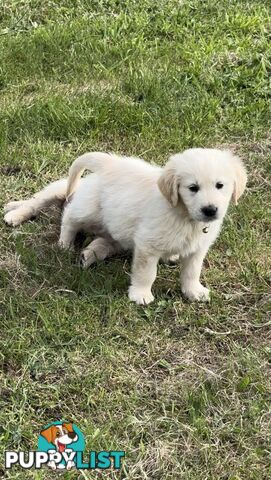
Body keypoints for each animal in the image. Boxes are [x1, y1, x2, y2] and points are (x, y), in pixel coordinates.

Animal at [4, 149, 248, 304]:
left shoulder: (197, 249)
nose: (210, 210)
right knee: (67, 215)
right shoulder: (147, 245)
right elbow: (146, 272)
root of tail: (110, 163)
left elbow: (191, 272)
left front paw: (193, 291)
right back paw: (61, 240)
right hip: (88, 209)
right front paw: (140, 294)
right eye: (193, 188)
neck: (184, 216)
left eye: (220, 185)